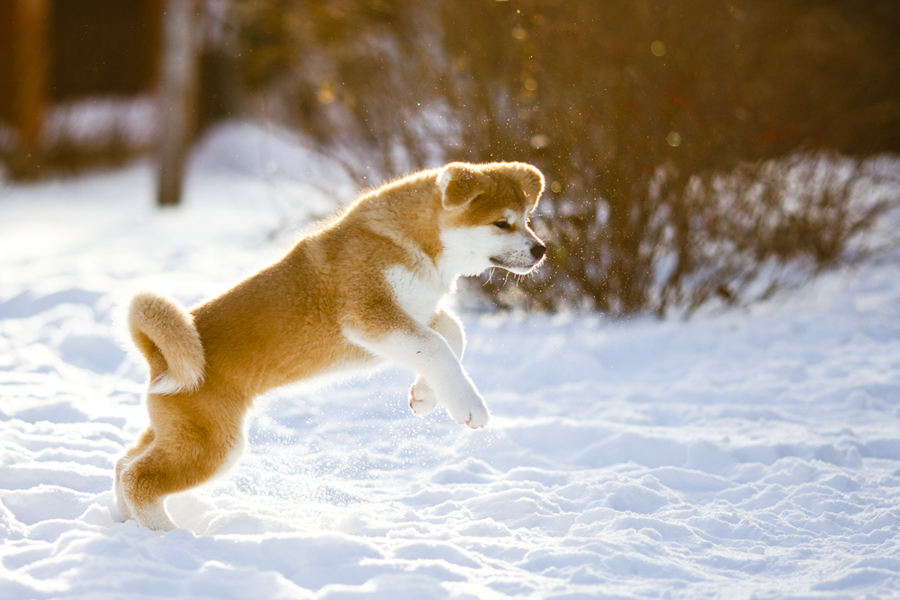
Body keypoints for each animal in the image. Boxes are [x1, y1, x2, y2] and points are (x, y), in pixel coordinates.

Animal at [116, 161, 544, 528]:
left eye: (526, 219)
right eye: (502, 223)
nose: (541, 249)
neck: (411, 242)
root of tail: (157, 357)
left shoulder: (416, 313)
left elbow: (452, 334)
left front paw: (425, 396)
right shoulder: (369, 315)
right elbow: (437, 346)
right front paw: (469, 407)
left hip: (177, 433)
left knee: (124, 466)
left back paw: (123, 522)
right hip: (213, 446)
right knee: (140, 480)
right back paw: (165, 533)